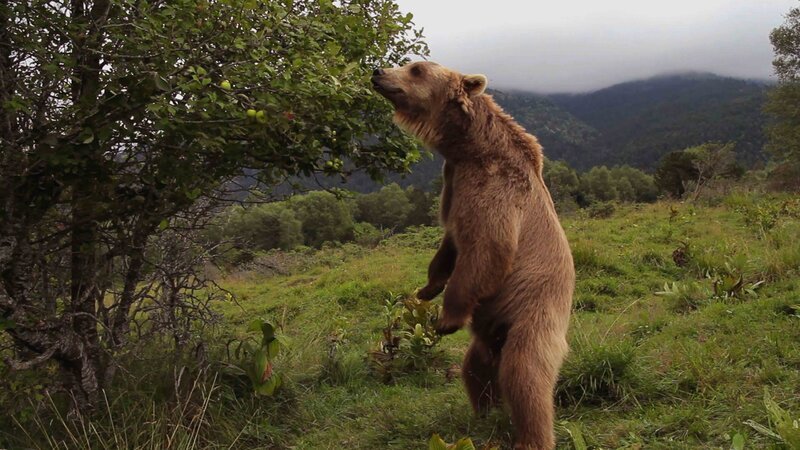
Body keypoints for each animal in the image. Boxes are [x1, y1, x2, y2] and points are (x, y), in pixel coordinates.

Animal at [372, 61, 574, 450]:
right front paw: (426, 289)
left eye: (416, 68)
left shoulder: (495, 191)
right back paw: (484, 412)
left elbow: (486, 250)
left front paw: (446, 319)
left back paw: (531, 437)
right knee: (475, 369)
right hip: (489, 334)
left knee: (524, 373)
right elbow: (450, 242)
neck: (469, 149)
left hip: (534, 311)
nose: (377, 72)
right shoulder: (453, 184)